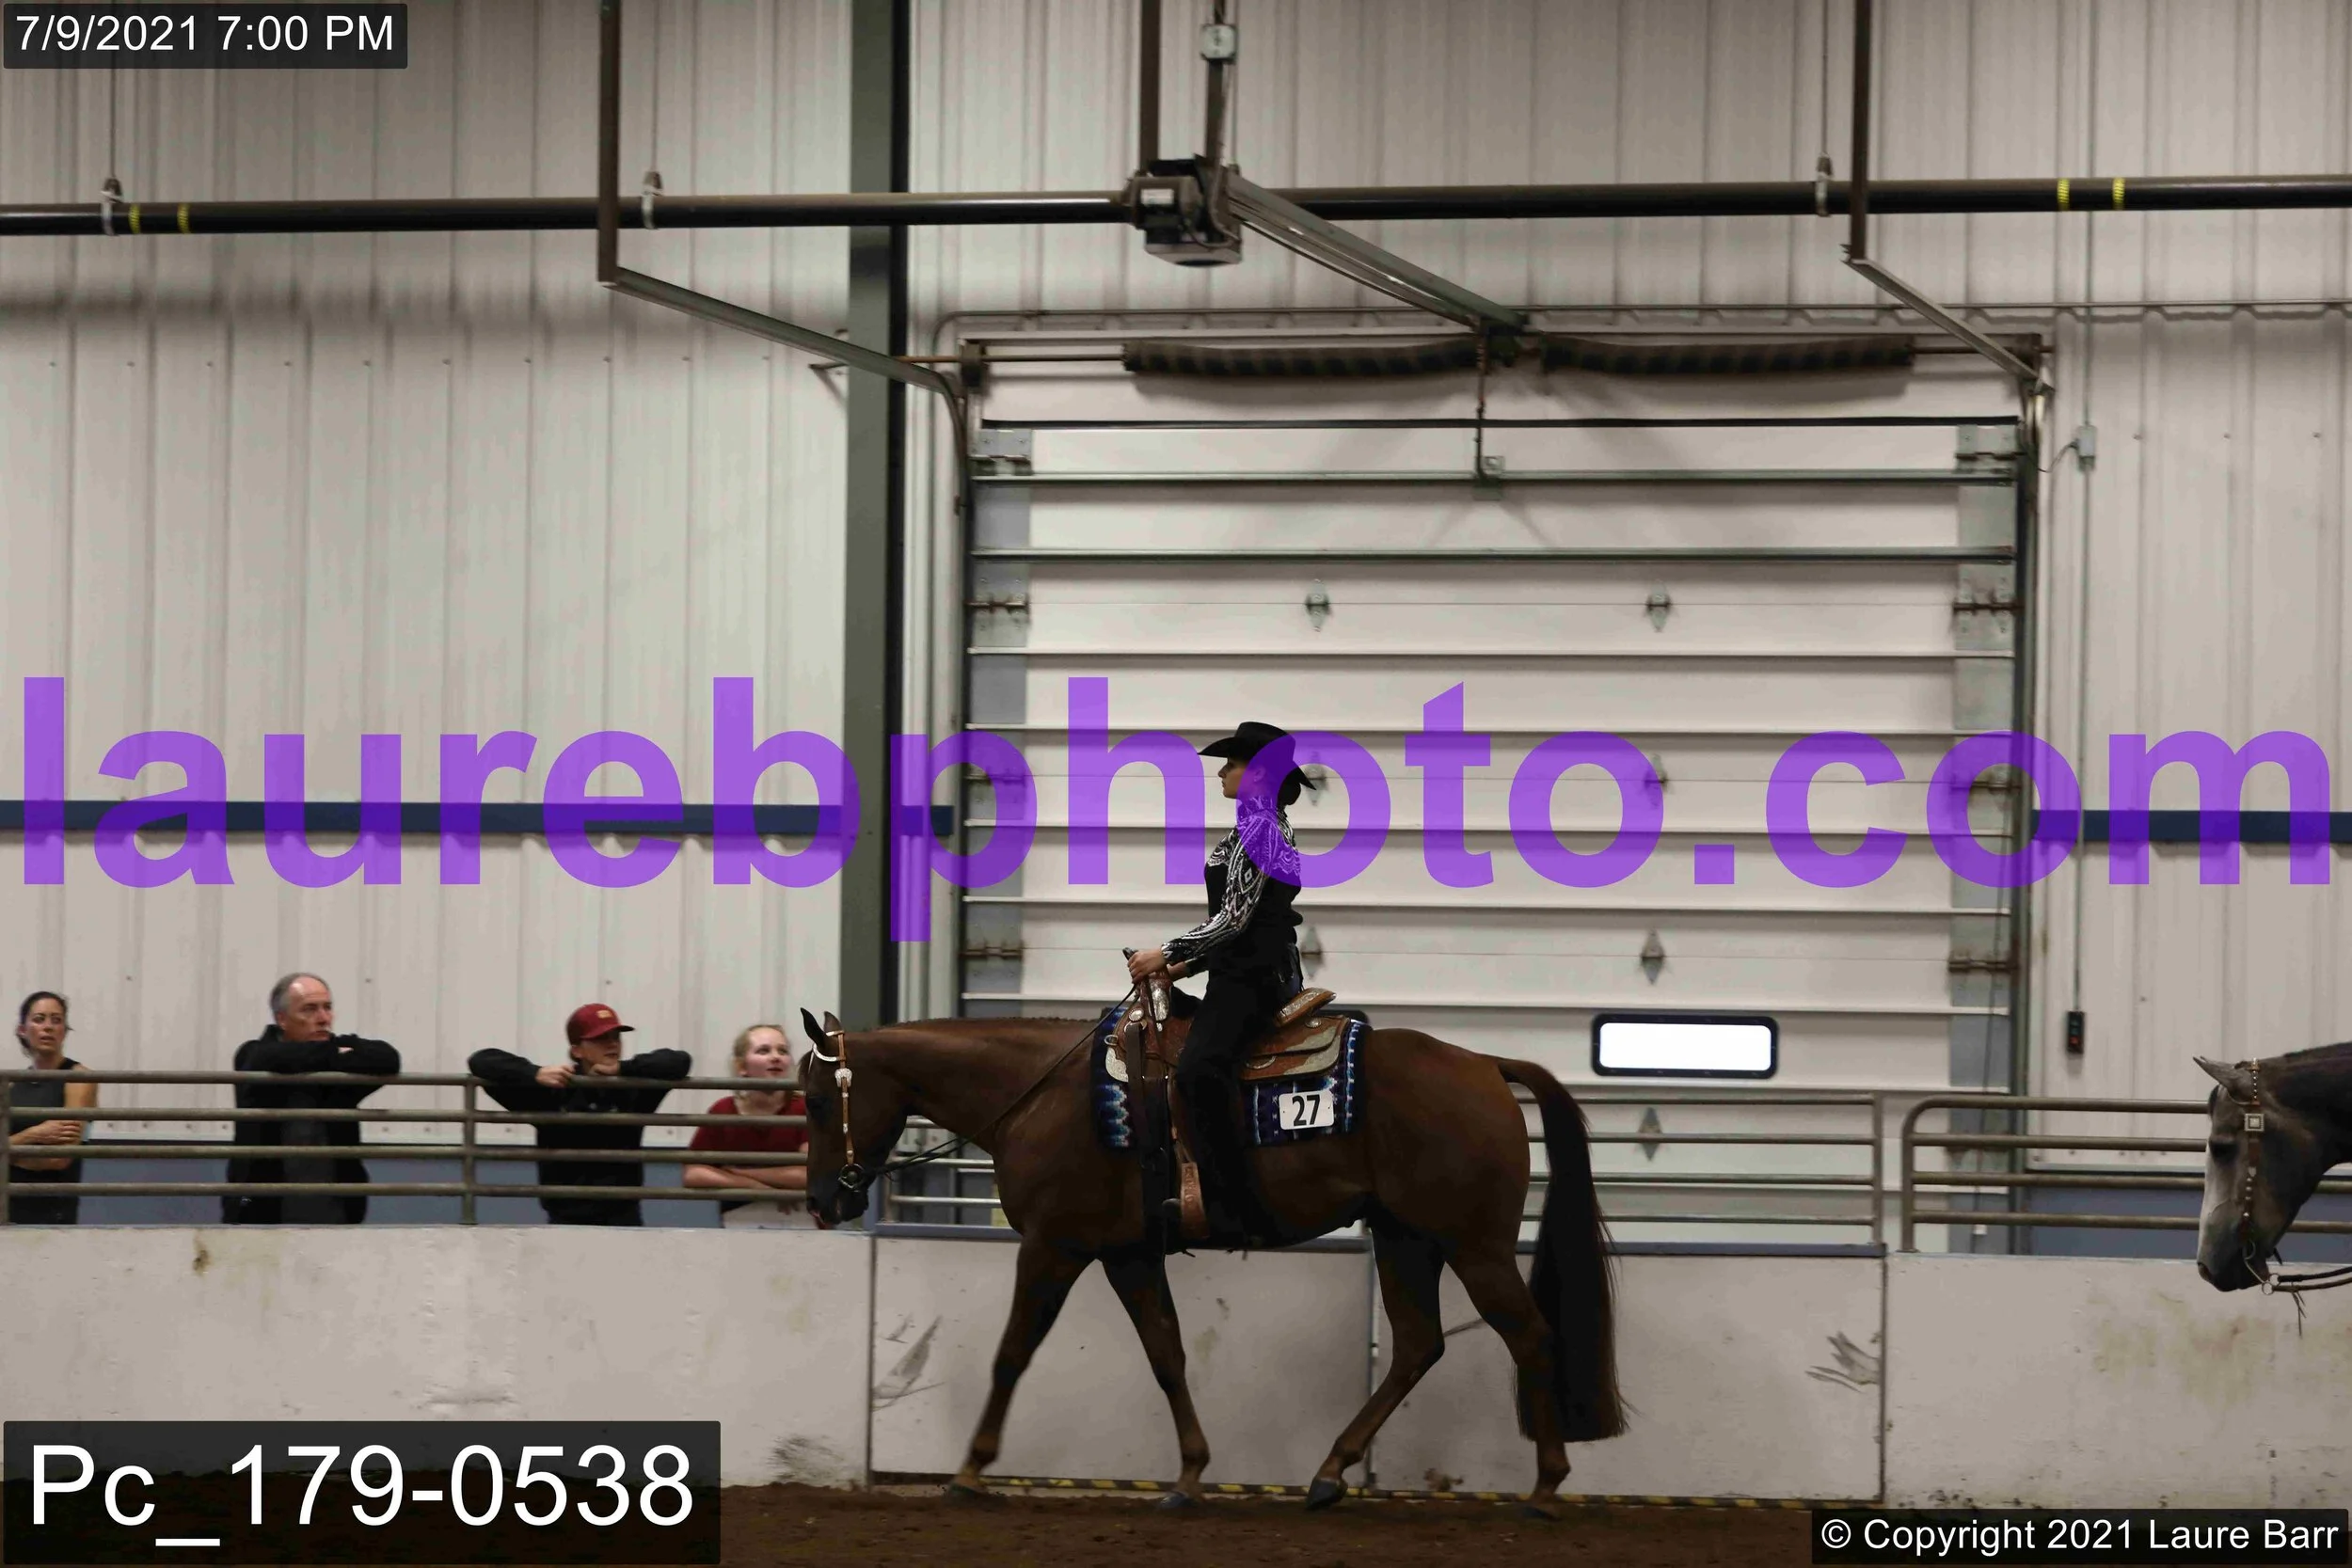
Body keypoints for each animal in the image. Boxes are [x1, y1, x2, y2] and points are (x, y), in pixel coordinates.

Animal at [793, 1003, 1625, 1516]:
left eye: (813, 1100)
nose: (822, 1200)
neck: (1043, 1094)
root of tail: (1485, 1062)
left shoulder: (1055, 1245)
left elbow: (1012, 1352)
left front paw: (969, 1469)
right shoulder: (1127, 1253)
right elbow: (1167, 1353)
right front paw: (1189, 1474)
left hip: (1474, 1244)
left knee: (1531, 1334)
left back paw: (1546, 1486)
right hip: (1405, 1237)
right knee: (1418, 1345)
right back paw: (1330, 1472)